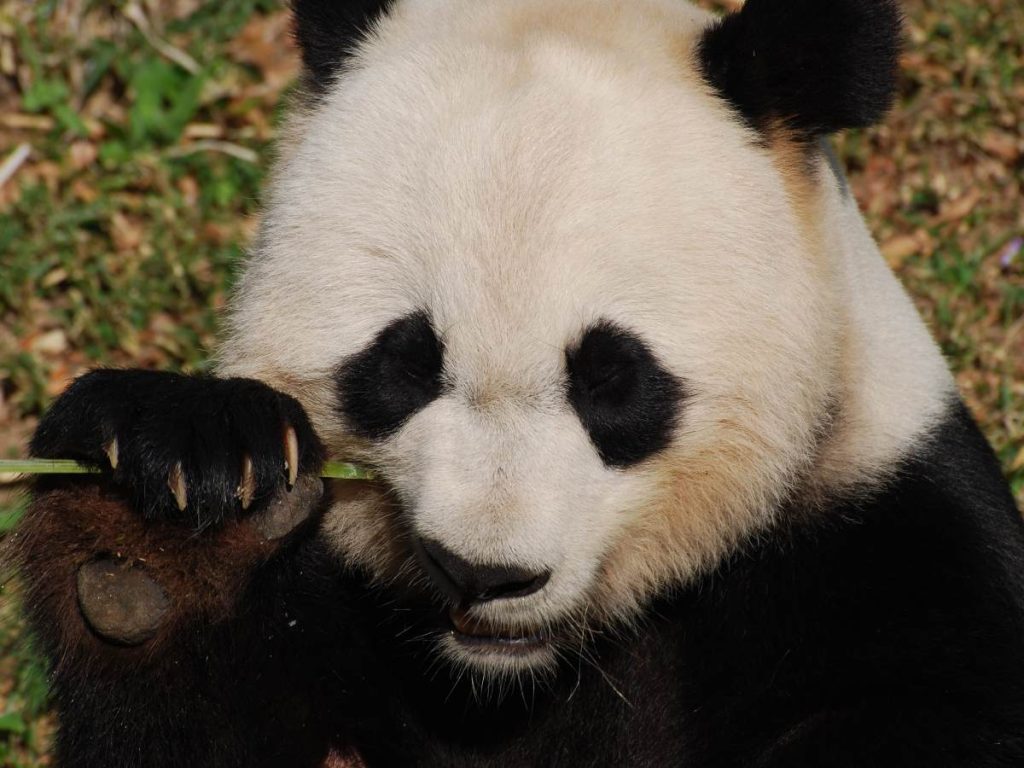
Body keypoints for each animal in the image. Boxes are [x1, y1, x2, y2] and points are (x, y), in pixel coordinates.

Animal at [13, 0, 1024, 765]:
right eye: (404, 363)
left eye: (613, 381)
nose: (483, 572)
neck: (507, 678)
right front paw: (170, 518)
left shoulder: (887, 551)